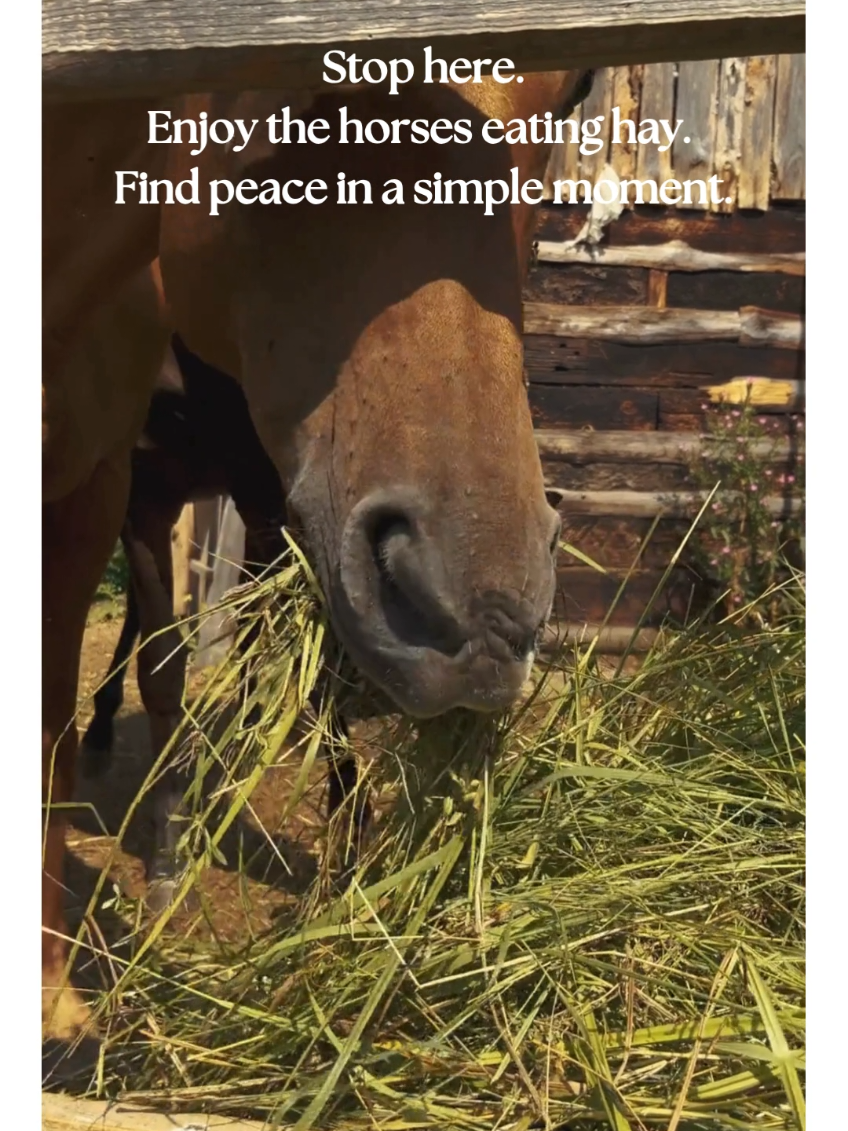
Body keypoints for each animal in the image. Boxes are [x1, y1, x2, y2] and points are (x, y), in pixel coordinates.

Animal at [42, 70, 593, 1039]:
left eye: (575, 90)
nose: (487, 618)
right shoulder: (142, 491)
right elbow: (162, 663)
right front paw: (168, 858)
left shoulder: (277, 498)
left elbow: (313, 672)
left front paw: (344, 863)